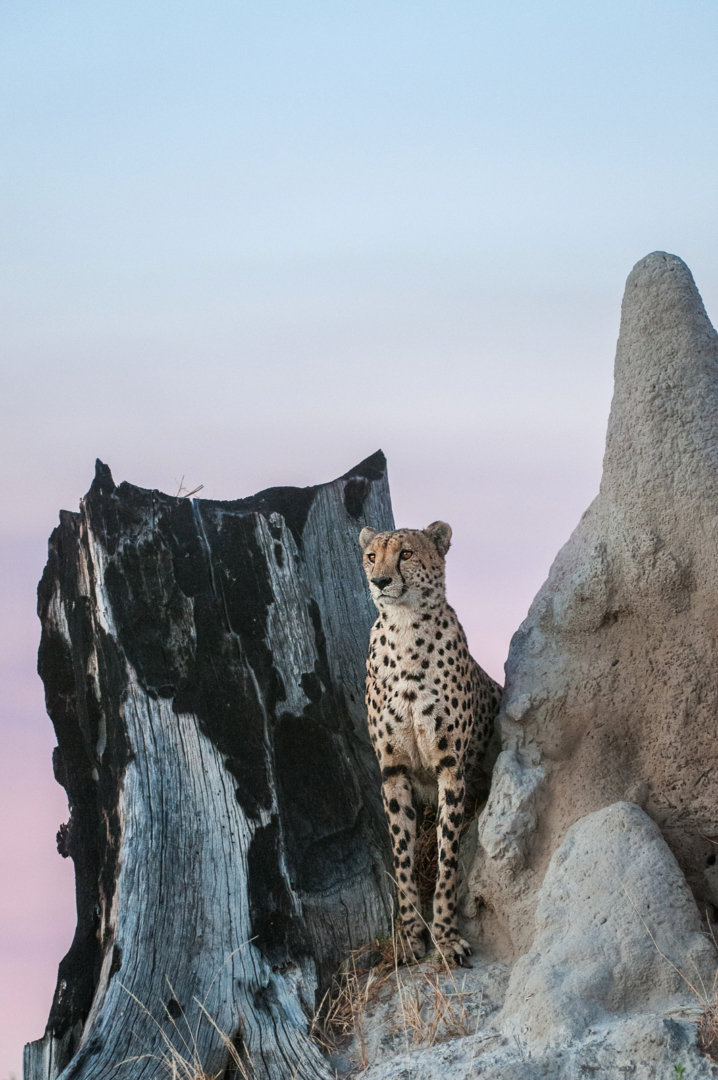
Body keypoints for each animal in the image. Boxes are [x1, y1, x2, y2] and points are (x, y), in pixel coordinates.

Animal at [359, 520, 502, 963]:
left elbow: (448, 858)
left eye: (405, 553)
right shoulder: (394, 771)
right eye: (372, 556)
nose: (380, 580)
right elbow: (402, 857)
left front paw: (446, 935)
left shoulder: (450, 769)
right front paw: (410, 937)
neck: (404, 628)